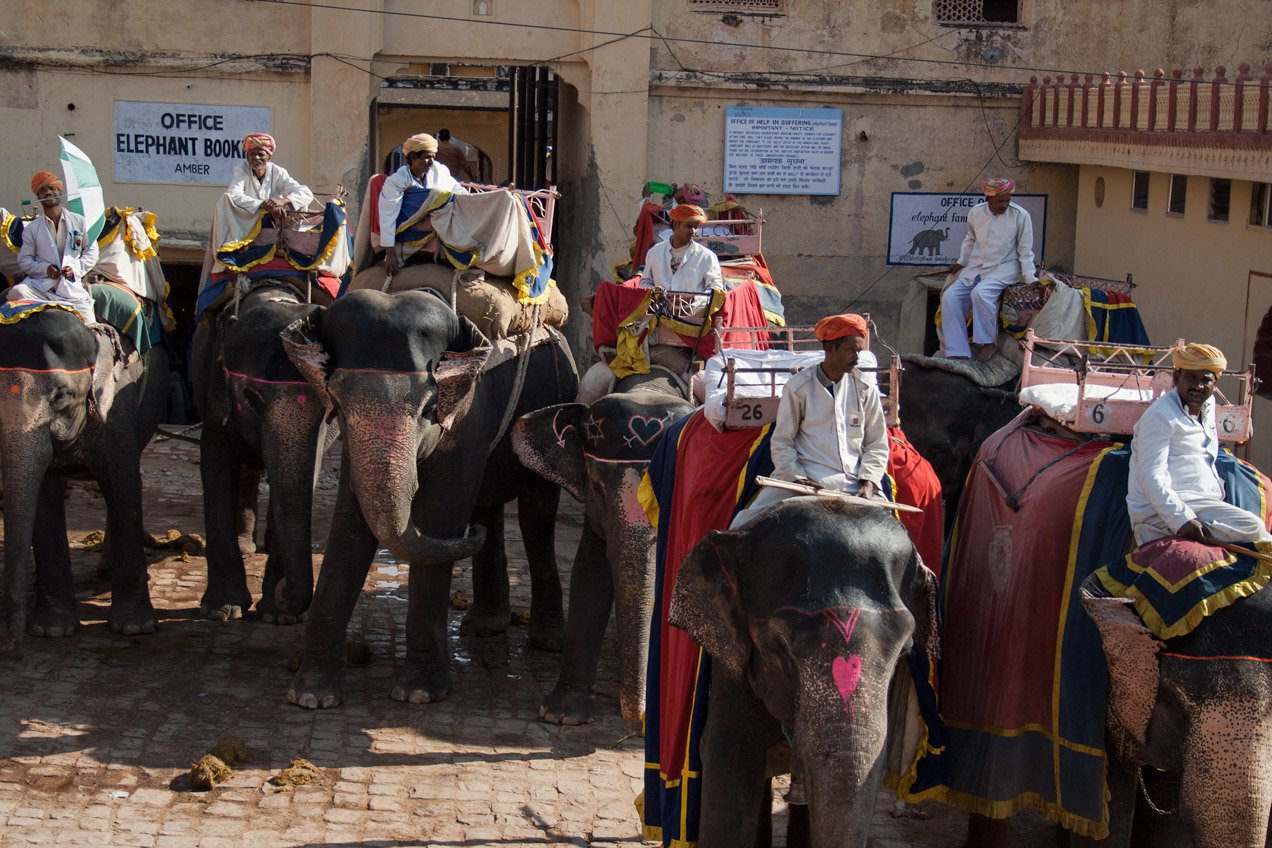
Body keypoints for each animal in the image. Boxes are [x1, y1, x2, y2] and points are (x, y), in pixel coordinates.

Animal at [0, 306, 170, 657]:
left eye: (62, 396)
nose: (13, 651)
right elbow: (45, 498)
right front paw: (51, 630)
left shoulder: (117, 410)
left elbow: (124, 486)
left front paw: (134, 628)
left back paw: (108, 574)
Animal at [190, 284, 332, 623]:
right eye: (251, 398)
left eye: (327, 404)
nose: (284, 591)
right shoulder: (215, 391)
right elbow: (215, 464)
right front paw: (222, 611)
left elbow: (306, 477)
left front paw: (280, 617)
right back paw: (247, 547)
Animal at [281, 288, 577, 707]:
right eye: (336, 403)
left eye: (429, 406)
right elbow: (351, 522)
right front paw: (312, 696)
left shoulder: (470, 411)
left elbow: (440, 514)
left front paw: (418, 693)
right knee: (487, 509)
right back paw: (483, 625)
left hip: (556, 406)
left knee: (536, 515)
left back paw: (547, 641)